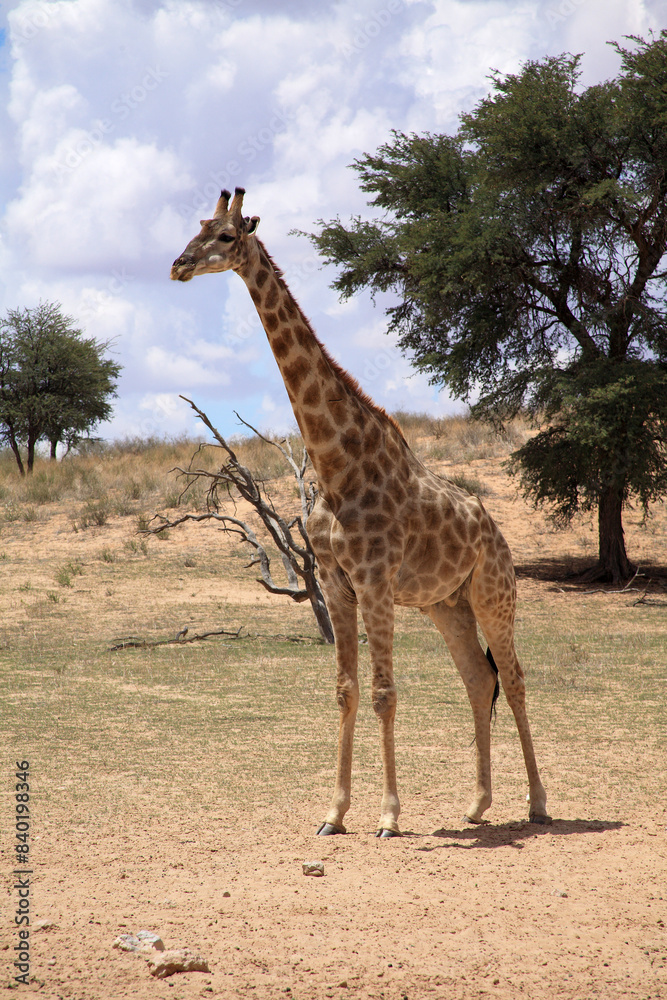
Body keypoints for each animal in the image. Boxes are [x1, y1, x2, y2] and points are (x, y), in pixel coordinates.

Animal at [171, 187, 550, 836]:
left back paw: (538, 803)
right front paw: (334, 813)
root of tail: (496, 532)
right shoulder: (335, 580)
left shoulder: (374, 580)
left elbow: (383, 694)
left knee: (517, 680)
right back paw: (476, 805)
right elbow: (346, 690)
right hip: (446, 604)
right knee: (480, 681)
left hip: (494, 594)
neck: (335, 463)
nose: (178, 265)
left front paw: (389, 816)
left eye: (225, 236)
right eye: (196, 226)